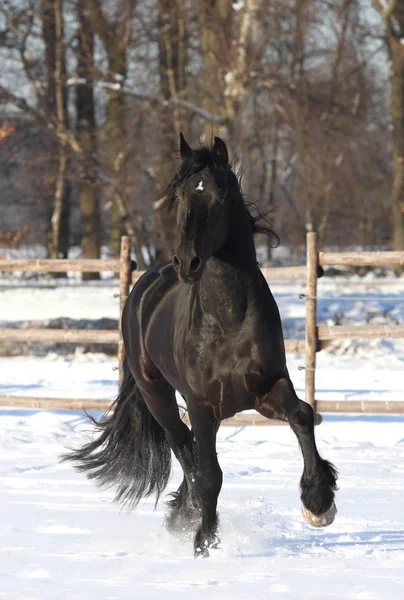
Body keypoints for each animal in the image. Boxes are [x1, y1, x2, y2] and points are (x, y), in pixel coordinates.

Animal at [64, 134, 338, 556]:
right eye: (179, 196)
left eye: (218, 195)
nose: (187, 262)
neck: (229, 320)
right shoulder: (202, 404)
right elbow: (209, 475)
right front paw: (204, 543)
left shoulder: (267, 389)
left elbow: (303, 415)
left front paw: (318, 503)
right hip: (158, 396)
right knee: (183, 446)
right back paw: (188, 512)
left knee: (192, 452)